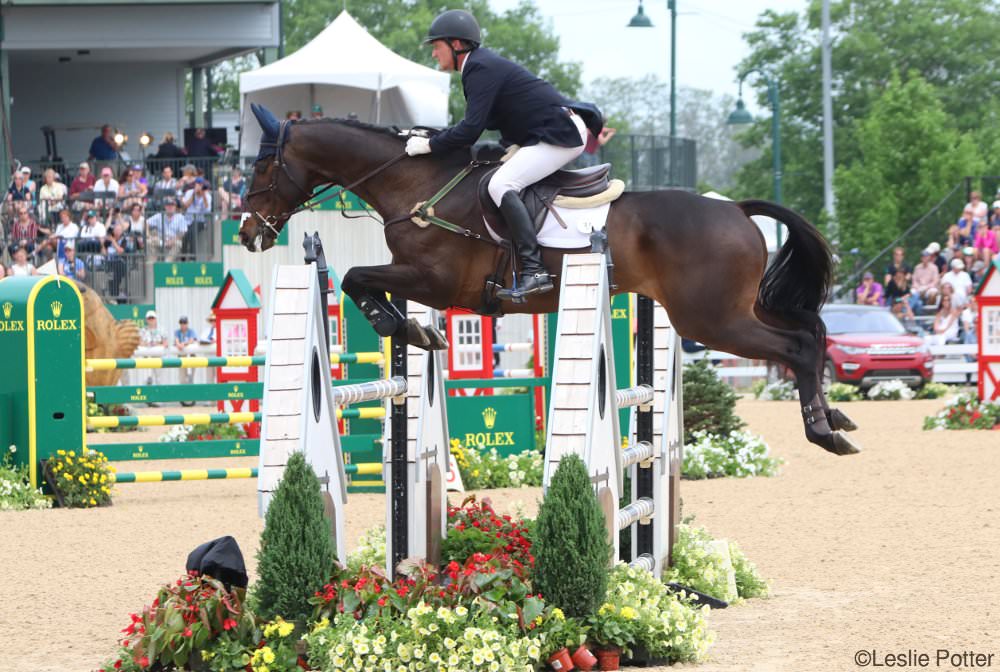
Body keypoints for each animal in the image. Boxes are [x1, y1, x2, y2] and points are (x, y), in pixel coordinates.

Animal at [236, 105, 860, 456]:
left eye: (262, 166)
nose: (247, 233)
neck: (415, 184)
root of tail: (734, 208)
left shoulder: (436, 281)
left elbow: (355, 277)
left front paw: (407, 330)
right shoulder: (424, 281)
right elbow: (362, 279)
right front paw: (412, 330)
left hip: (712, 319)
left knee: (797, 345)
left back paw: (822, 431)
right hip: (734, 309)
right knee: (813, 327)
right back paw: (837, 415)